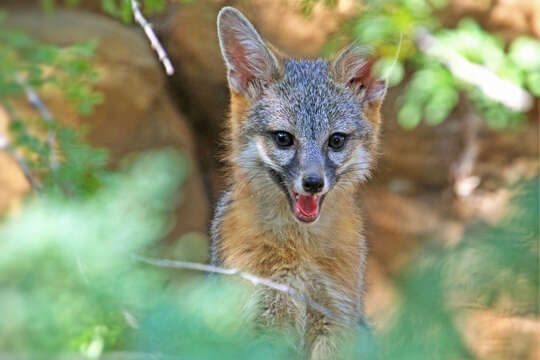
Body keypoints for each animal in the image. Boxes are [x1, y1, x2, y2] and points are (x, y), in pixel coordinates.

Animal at [209, 6, 386, 360]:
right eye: (283, 138)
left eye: (336, 141)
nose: (313, 183)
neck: (299, 247)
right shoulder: (263, 316)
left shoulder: (335, 317)